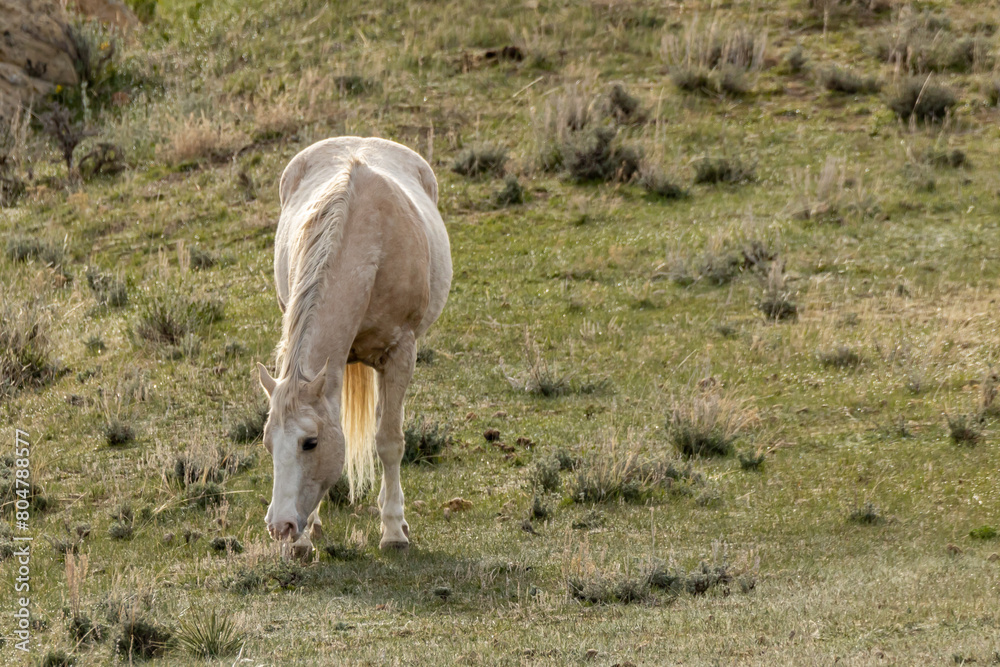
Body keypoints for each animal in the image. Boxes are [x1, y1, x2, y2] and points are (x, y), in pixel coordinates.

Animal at [256, 136, 451, 557]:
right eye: (267, 442)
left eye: (310, 443)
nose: (281, 527)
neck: (369, 236)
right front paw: (305, 538)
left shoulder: (400, 355)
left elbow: (389, 441)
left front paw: (393, 531)